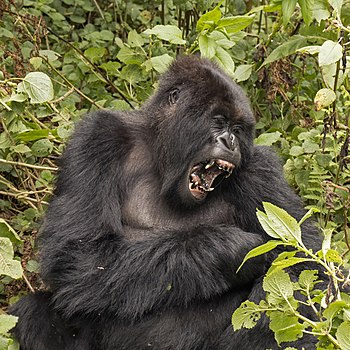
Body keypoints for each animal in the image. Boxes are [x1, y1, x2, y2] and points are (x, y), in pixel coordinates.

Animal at [10, 56, 322, 348]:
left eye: (238, 129)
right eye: (218, 122)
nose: (231, 142)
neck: (160, 153)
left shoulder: (259, 168)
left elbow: (305, 262)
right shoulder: (96, 138)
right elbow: (79, 253)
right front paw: (231, 249)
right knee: (34, 311)